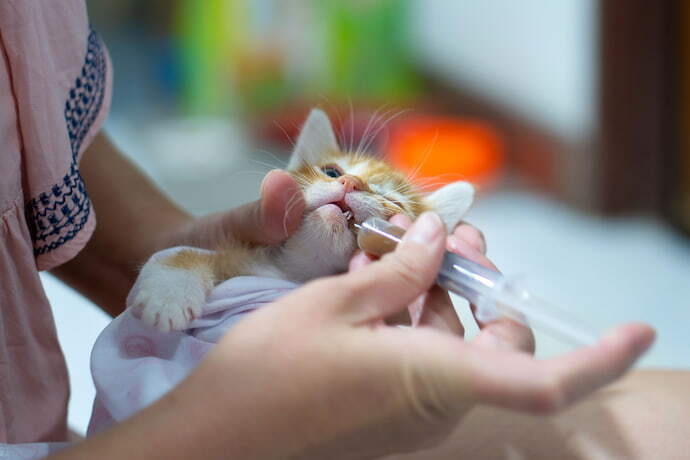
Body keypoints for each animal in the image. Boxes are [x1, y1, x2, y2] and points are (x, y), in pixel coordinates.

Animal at [132, 108, 476, 330]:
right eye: (332, 172)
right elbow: (180, 253)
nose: (351, 182)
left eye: (392, 202)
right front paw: (167, 295)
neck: (299, 276)